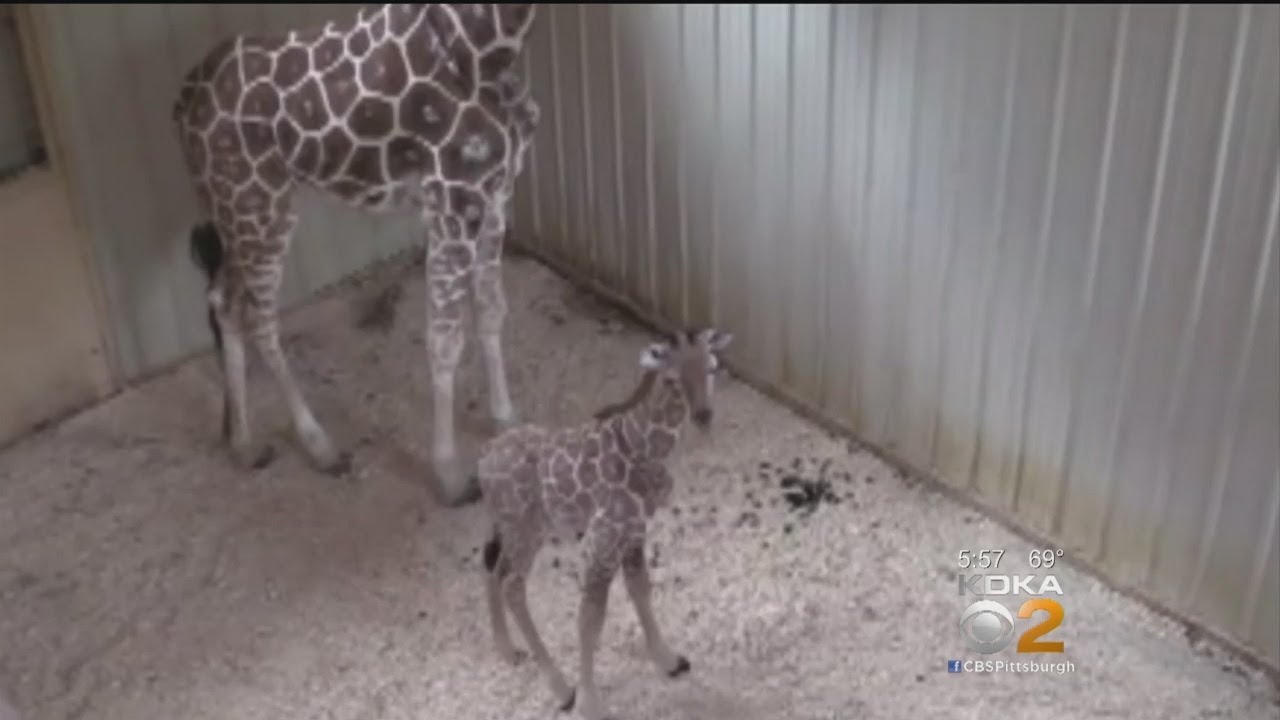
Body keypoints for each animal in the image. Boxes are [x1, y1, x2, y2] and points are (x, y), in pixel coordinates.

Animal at [171, 3, 539, 506]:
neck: (488, 44)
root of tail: (185, 97)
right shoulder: (451, 202)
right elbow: (444, 340)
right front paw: (449, 475)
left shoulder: (494, 194)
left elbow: (491, 312)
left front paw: (505, 420)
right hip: (260, 204)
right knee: (257, 315)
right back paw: (319, 446)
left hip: (233, 210)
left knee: (224, 300)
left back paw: (243, 445)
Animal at [477, 328, 734, 720]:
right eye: (671, 379)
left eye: (713, 367)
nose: (704, 415)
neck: (642, 446)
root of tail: (482, 464)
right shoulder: (602, 537)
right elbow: (590, 618)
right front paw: (590, 703)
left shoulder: (634, 530)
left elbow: (640, 588)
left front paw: (668, 660)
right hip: (526, 531)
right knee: (512, 585)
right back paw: (561, 689)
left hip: (516, 529)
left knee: (493, 569)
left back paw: (508, 651)